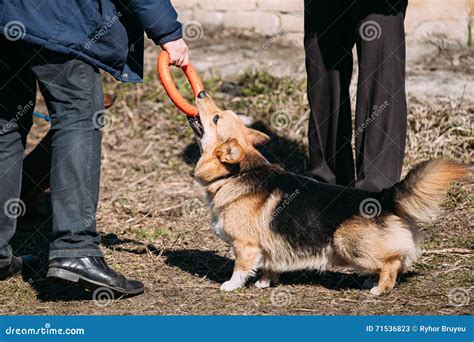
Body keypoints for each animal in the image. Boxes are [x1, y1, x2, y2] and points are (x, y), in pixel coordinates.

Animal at [191, 92, 468, 296]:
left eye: (216, 119)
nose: (201, 93)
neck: (235, 174)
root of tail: (383, 197)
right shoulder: (271, 246)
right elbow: (270, 266)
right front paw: (265, 282)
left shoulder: (245, 246)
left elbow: (240, 268)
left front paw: (230, 285)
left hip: (346, 241)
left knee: (392, 262)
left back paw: (379, 288)